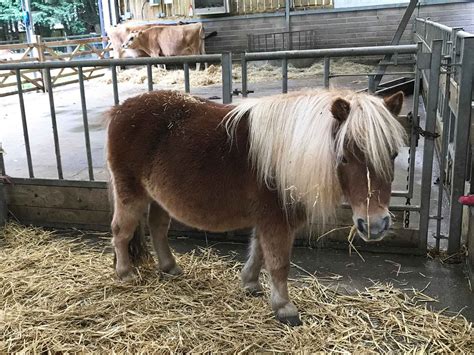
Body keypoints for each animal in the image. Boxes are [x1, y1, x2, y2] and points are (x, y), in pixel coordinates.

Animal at [105, 88, 406, 326]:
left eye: (393, 154)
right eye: (344, 157)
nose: (375, 225)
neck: (288, 154)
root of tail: (120, 109)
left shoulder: (269, 220)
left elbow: (260, 252)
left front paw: (250, 283)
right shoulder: (277, 220)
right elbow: (279, 263)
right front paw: (284, 308)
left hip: (158, 198)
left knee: (157, 228)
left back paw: (169, 267)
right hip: (131, 193)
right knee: (121, 231)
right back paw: (126, 274)